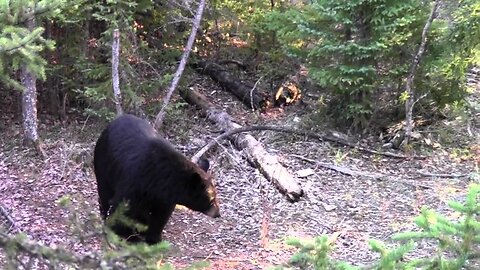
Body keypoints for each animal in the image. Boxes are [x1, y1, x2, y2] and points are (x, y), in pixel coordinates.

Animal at [94, 113, 221, 244]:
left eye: (215, 196)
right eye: (212, 199)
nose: (218, 213)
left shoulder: (163, 198)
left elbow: (160, 216)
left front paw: (153, 237)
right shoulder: (134, 181)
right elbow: (122, 207)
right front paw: (128, 235)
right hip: (103, 165)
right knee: (104, 193)